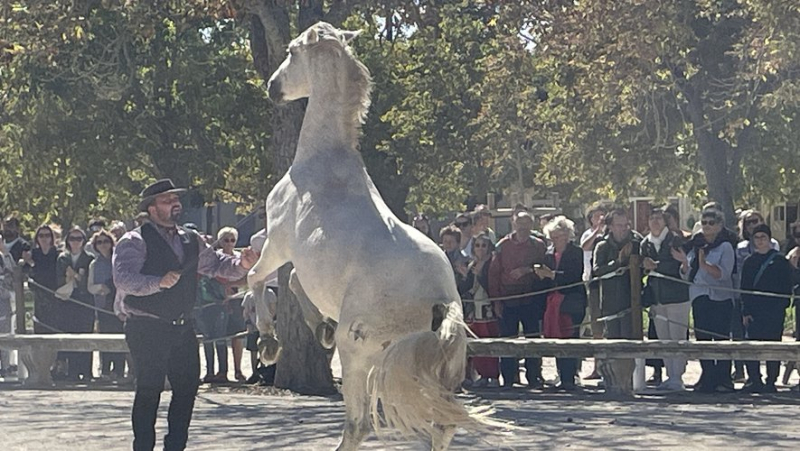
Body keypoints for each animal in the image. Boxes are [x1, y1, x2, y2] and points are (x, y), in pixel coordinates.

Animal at [247, 22, 478, 451]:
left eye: (291, 52)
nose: (273, 87)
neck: (323, 161)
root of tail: (441, 301)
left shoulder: (277, 244)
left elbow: (256, 277)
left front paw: (269, 344)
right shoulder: (300, 264)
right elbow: (292, 281)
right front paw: (319, 327)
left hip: (359, 354)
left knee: (359, 424)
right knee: (441, 426)